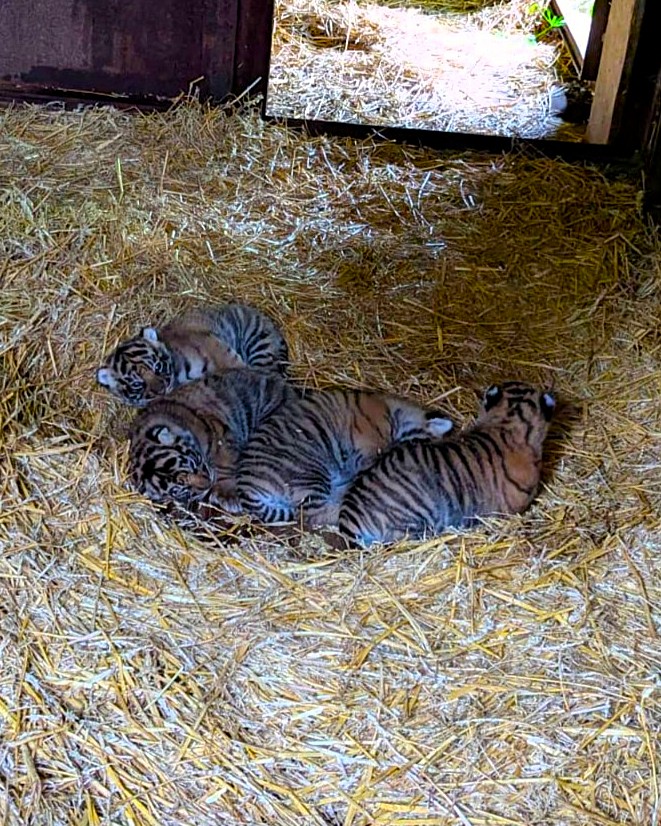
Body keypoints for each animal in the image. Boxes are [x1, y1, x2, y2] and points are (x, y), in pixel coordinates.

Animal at [127, 368, 289, 508]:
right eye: (181, 489)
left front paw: (228, 495)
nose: (208, 483)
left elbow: (225, 465)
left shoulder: (221, 435)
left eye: (193, 465)